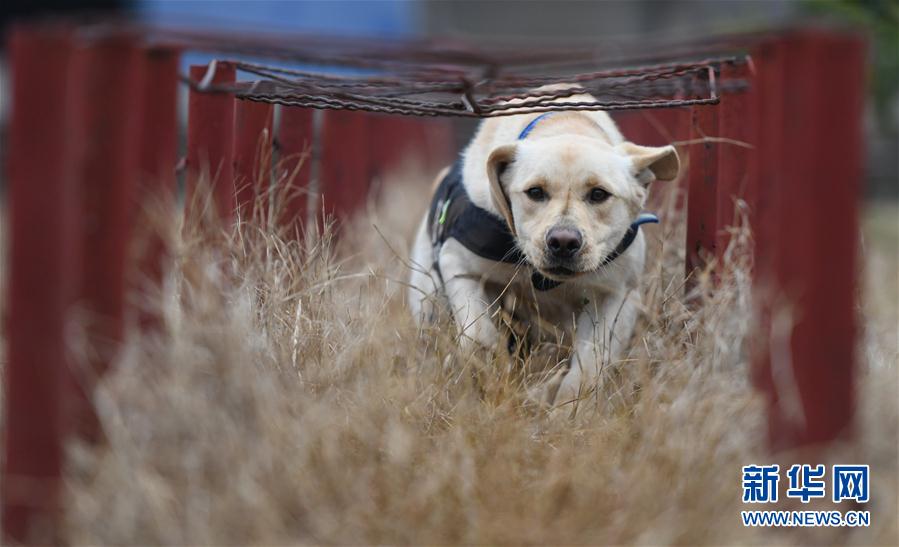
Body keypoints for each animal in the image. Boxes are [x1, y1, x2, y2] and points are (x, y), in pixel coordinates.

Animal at [404, 89, 680, 406]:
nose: (563, 242)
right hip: (428, 300)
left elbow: (590, 364)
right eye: (535, 192)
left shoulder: (616, 295)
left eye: (599, 194)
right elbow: (478, 335)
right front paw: (491, 373)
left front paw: (566, 408)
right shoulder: (457, 264)